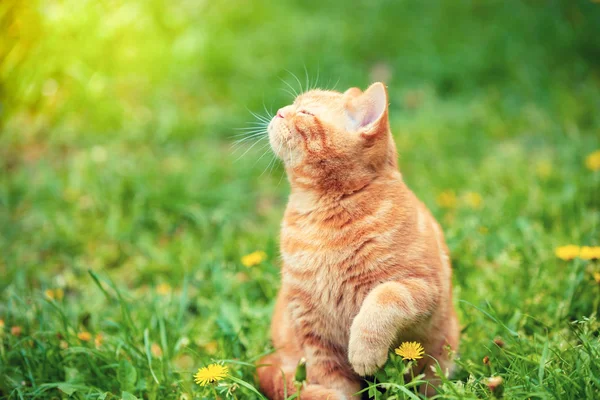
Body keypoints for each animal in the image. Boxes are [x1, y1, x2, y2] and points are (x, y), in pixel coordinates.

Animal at [256, 83, 460, 398]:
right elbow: (332, 380)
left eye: (305, 112)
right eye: (293, 105)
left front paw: (364, 352)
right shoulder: (312, 328)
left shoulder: (423, 286)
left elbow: (382, 299)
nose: (280, 111)